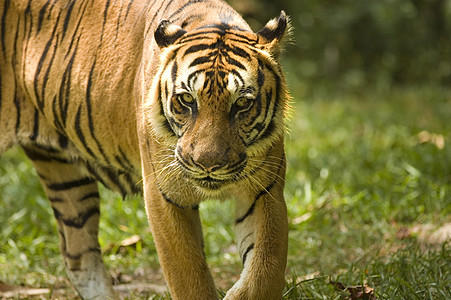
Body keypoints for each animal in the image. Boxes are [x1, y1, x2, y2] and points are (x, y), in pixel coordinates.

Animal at [0, 0, 290, 298]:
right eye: (187, 99)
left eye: (242, 104)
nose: (207, 164)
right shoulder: (163, 194)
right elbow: (188, 273)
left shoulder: (264, 190)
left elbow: (266, 266)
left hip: (64, 177)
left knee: (77, 255)